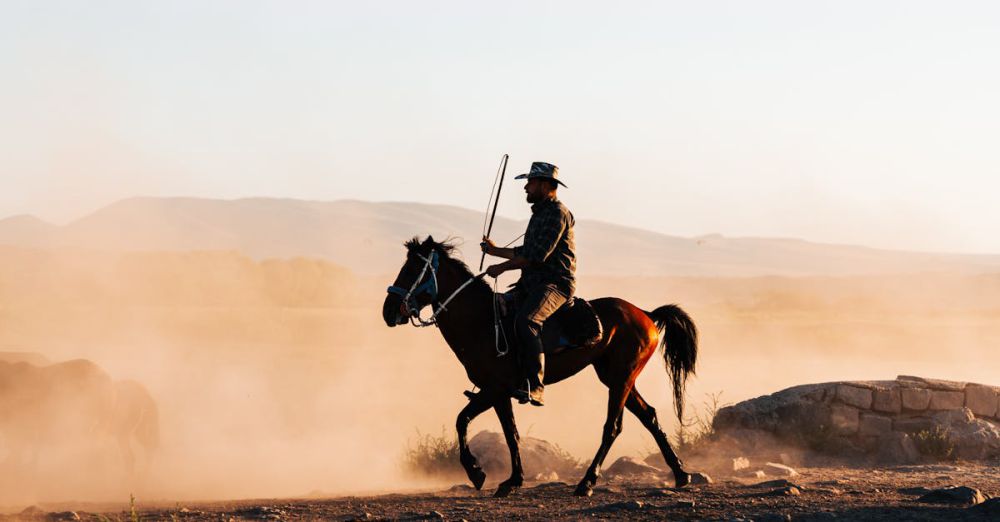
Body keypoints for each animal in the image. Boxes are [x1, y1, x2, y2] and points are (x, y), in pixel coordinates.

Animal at [378, 236, 700, 496]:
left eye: (412, 270)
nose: (389, 310)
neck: (483, 322)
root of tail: (645, 313)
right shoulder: (499, 393)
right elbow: (510, 433)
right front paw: (511, 481)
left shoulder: (495, 388)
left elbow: (463, 420)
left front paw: (477, 472)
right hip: (616, 376)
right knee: (649, 416)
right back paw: (681, 474)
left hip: (621, 378)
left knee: (613, 427)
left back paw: (587, 483)